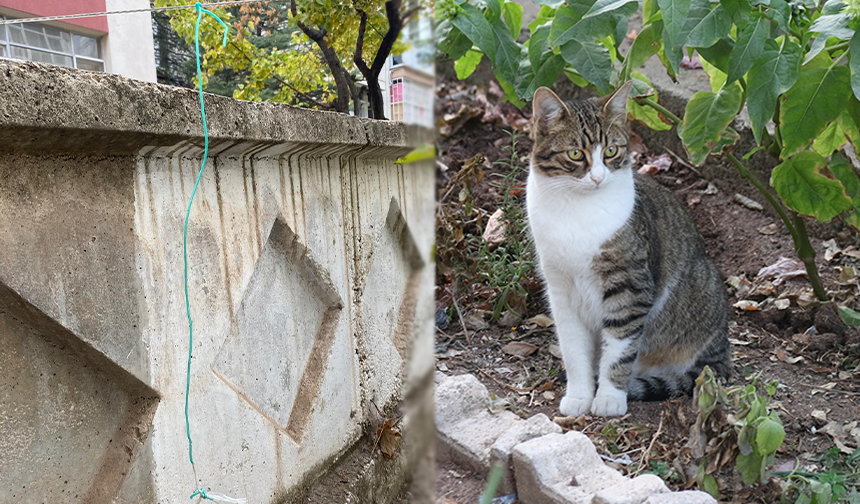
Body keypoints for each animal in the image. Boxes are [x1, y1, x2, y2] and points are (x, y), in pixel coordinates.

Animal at [524, 83, 732, 418]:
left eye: (611, 151)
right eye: (575, 154)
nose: (598, 178)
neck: (577, 210)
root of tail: (722, 353)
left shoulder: (630, 287)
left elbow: (620, 348)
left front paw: (609, 398)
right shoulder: (560, 289)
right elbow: (573, 349)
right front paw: (579, 395)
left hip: (704, 289)